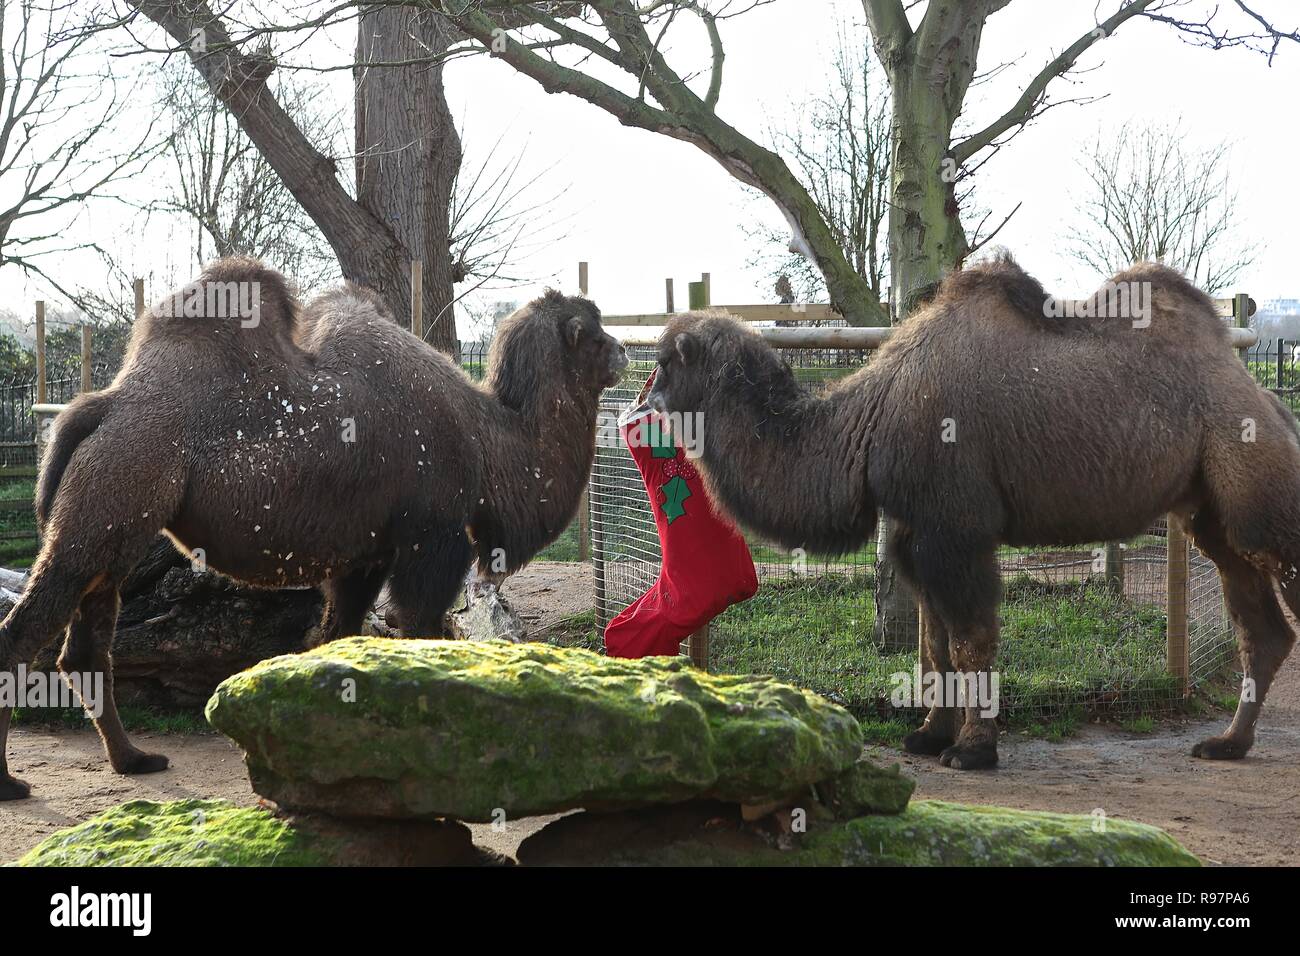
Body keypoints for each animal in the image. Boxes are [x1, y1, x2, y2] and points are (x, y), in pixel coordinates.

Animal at [0, 256, 629, 801]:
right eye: (596, 333)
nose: (626, 353)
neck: (487, 439)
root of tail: (102, 405)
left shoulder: (367, 556)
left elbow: (337, 640)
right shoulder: (432, 539)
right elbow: (419, 629)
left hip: (116, 522)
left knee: (85, 646)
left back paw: (134, 760)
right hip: (111, 499)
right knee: (26, 631)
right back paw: (13, 783)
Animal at [650, 257, 1300, 775]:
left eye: (663, 363)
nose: (642, 400)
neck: (869, 423)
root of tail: (1269, 401)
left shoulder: (956, 532)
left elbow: (970, 641)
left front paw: (972, 750)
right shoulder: (916, 531)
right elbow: (936, 645)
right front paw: (929, 735)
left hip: (1257, 485)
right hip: (1215, 513)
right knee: (1260, 627)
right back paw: (1227, 744)